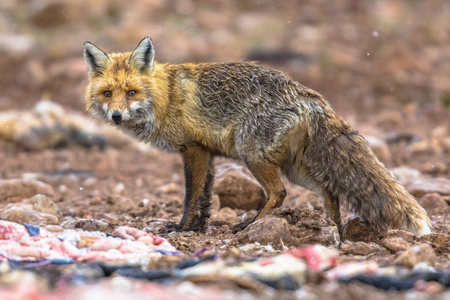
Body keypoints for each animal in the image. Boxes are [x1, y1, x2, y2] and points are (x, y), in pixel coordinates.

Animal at [82, 37, 430, 238]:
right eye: (108, 93)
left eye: (131, 92)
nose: (116, 116)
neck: (165, 97)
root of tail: (306, 93)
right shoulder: (206, 153)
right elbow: (205, 198)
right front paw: (198, 228)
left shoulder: (193, 150)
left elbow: (191, 196)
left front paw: (180, 228)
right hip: (294, 167)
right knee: (329, 190)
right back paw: (335, 231)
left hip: (253, 155)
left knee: (279, 193)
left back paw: (250, 226)